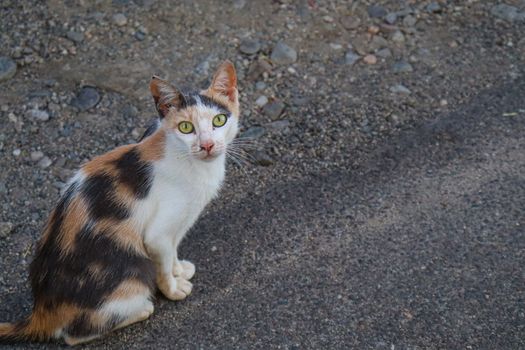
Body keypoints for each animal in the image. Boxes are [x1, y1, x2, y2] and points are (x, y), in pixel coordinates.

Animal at [0, 60, 239, 344]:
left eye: (219, 121)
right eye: (185, 128)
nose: (208, 145)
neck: (194, 167)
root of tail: (40, 313)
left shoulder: (179, 225)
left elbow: (172, 252)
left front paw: (180, 269)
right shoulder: (157, 234)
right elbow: (162, 264)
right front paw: (172, 288)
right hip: (131, 277)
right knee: (73, 335)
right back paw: (142, 309)